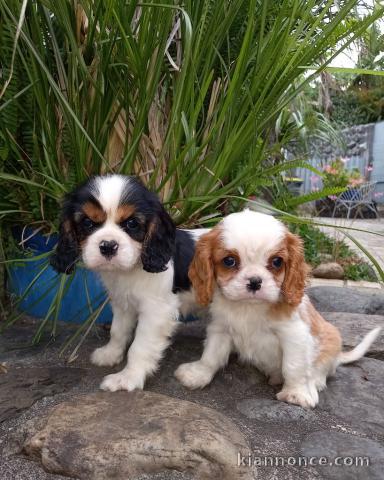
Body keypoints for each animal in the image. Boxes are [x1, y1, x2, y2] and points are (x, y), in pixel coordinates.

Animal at [50, 174, 198, 392]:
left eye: (132, 224)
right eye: (88, 223)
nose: (108, 246)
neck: (129, 271)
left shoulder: (156, 312)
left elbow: (140, 347)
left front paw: (128, 377)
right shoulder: (122, 303)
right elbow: (117, 331)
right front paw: (110, 354)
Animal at [176, 211, 382, 408]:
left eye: (277, 262)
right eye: (229, 261)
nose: (255, 281)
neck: (249, 307)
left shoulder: (295, 335)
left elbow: (294, 366)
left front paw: (297, 394)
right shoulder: (221, 328)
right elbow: (211, 355)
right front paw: (198, 374)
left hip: (331, 338)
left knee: (322, 370)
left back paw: (313, 382)